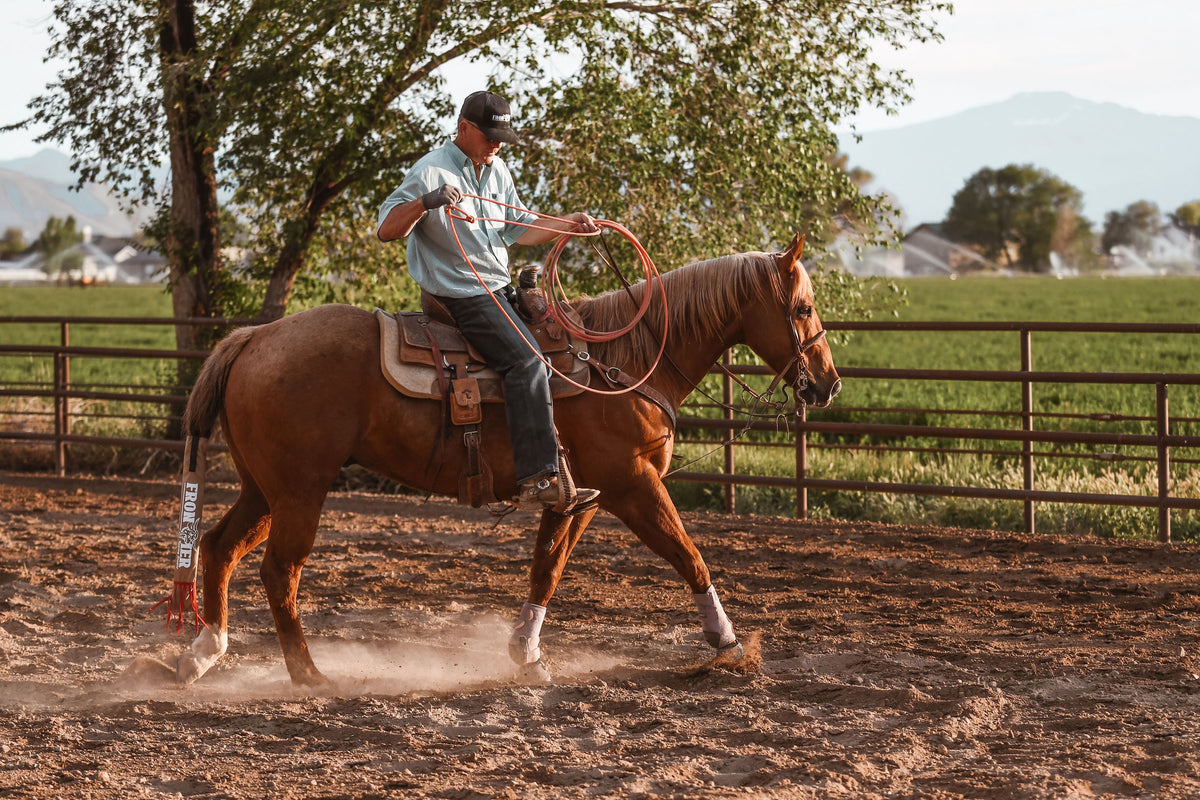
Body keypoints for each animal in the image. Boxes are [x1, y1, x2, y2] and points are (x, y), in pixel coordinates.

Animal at [170, 232, 840, 686]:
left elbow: (548, 569)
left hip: (265, 488)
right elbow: (688, 554)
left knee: (218, 546)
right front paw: (729, 644)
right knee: (279, 571)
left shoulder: (579, 497)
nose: (828, 384)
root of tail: (253, 337)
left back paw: (204, 653)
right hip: (300, 490)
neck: (624, 362)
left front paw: (528, 656)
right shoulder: (633, 485)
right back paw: (308, 674)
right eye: (803, 308)